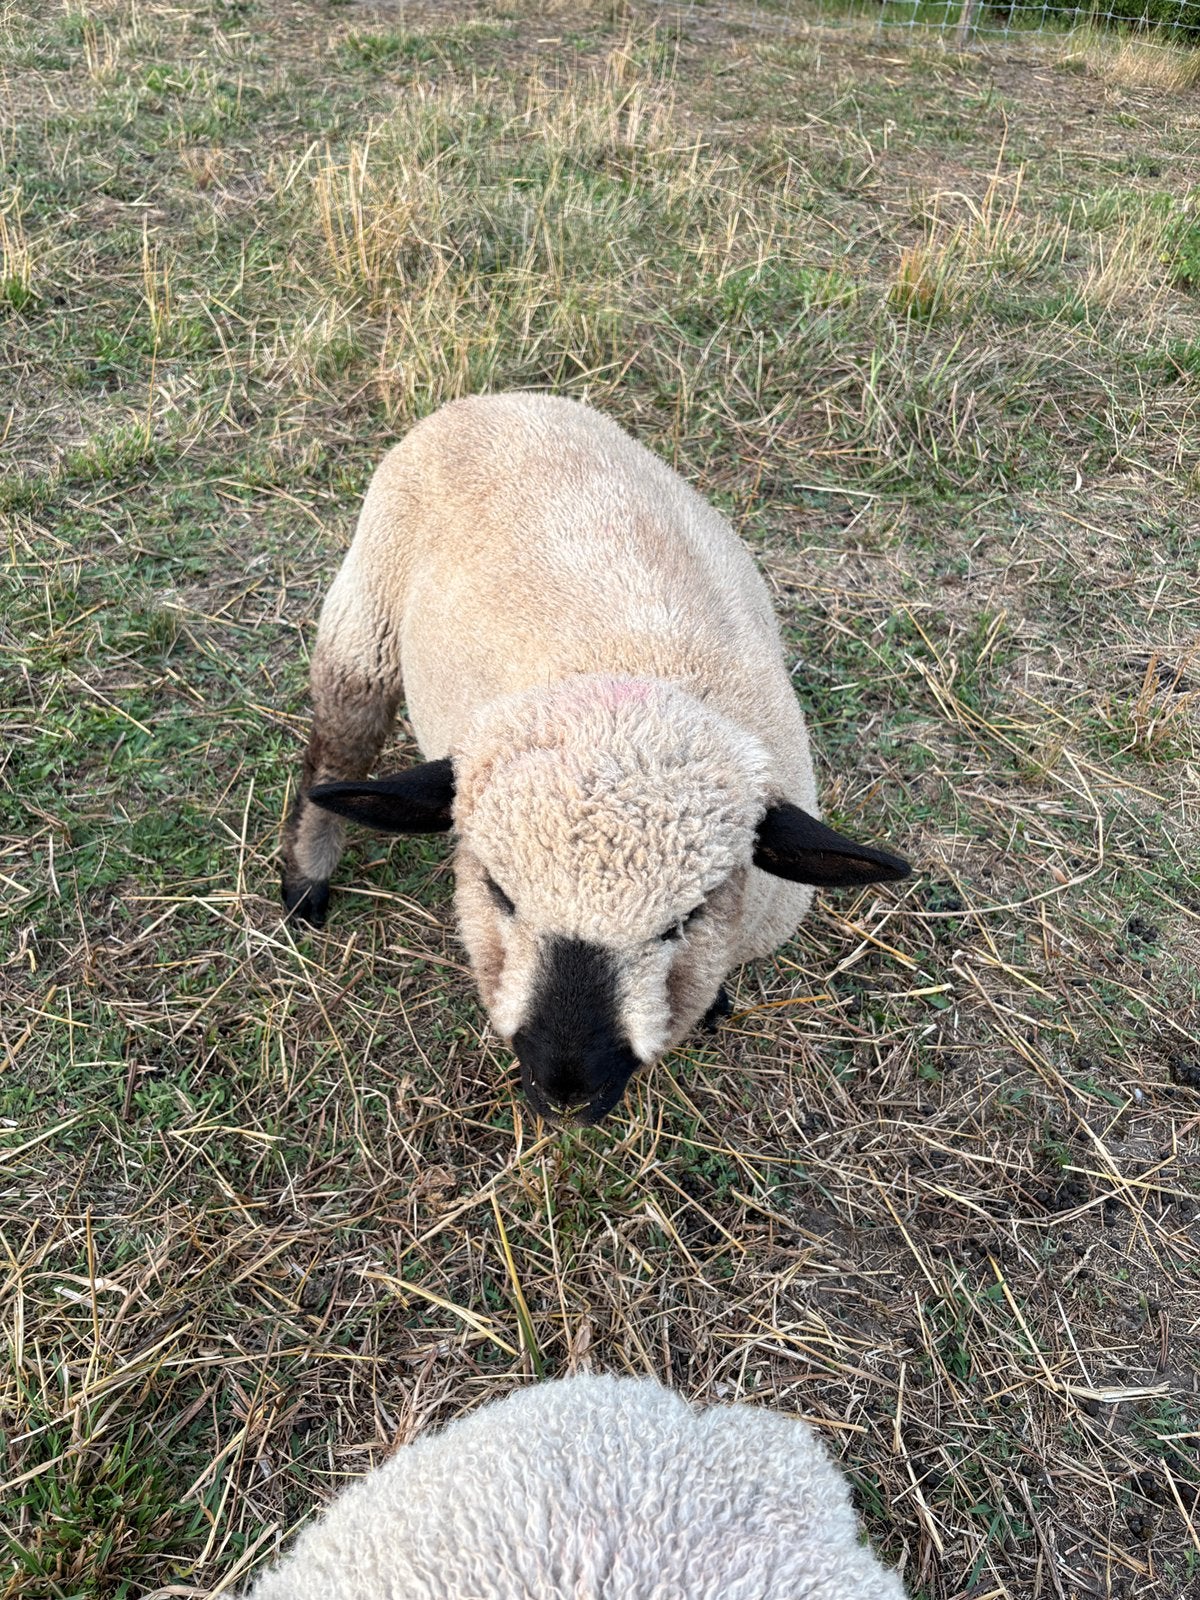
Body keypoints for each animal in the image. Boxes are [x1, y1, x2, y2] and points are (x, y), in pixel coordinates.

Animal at [281, 393, 910, 1123]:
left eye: (684, 920)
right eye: (499, 892)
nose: (565, 1093)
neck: (634, 677)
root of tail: (499, 398)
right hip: (366, 613)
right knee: (337, 749)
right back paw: (305, 885)